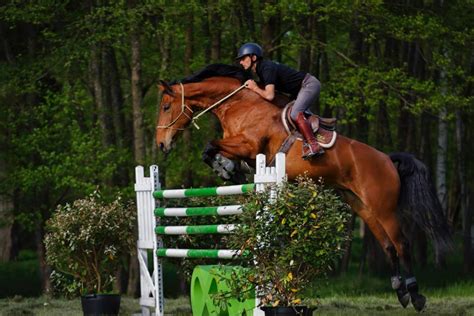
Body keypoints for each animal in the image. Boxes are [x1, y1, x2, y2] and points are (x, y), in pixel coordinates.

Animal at [155, 63, 452, 312]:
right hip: (362, 206)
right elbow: (212, 150)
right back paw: (400, 292)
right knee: (389, 246)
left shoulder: (250, 146)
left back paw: (416, 295)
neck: (239, 104)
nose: (161, 144)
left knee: (402, 244)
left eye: (167, 107)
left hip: (384, 207)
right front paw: (226, 168)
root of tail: (388, 160)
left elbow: (211, 144)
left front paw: (224, 168)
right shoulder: (244, 151)